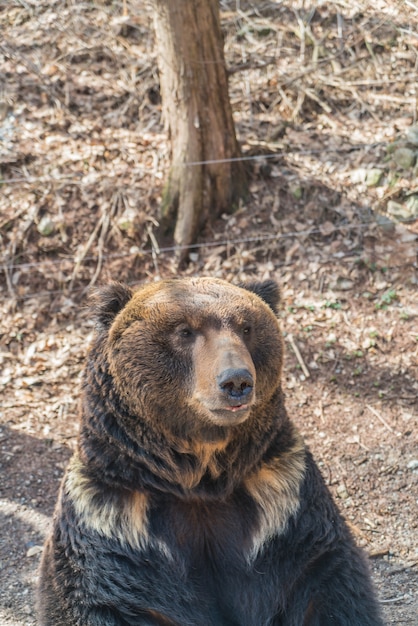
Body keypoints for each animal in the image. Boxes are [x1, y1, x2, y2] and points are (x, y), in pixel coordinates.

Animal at [37, 278, 384, 624]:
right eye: (184, 331)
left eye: (246, 327)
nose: (236, 381)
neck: (200, 475)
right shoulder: (113, 518)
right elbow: (106, 595)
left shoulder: (283, 501)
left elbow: (322, 579)